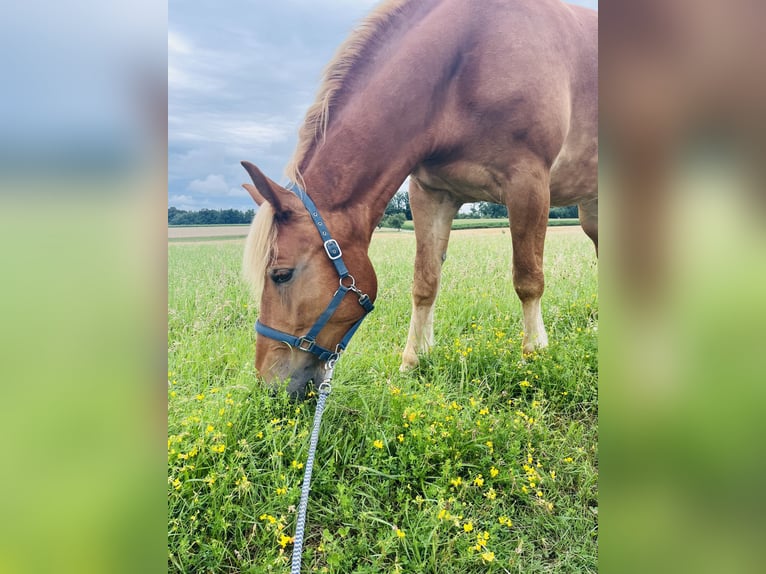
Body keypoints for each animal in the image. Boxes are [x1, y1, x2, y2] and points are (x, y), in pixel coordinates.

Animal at [242, 0, 600, 398]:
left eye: (281, 275)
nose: (268, 383)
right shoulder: (431, 193)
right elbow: (425, 282)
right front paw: (412, 362)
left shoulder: (528, 184)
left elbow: (528, 279)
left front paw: (534, 356)